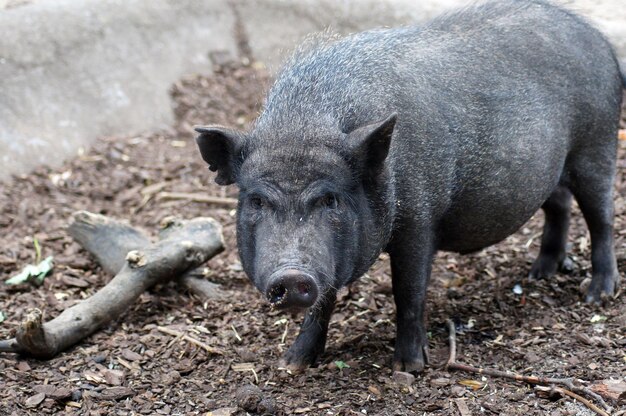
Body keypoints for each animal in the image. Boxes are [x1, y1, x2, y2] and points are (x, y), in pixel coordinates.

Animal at [194, 0, 620, 372]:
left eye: (330, 199)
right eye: (256, 201)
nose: (292, 275)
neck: (303, 126)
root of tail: (600, 41)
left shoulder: (419, 220)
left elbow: (408, 292)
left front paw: (410, 367)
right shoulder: (332, 258)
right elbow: (324, 301)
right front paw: (292, 364)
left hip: (597, 145)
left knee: (602, 217)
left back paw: (598, 294)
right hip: (555, 169)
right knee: (559, 204)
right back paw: (540, 274)